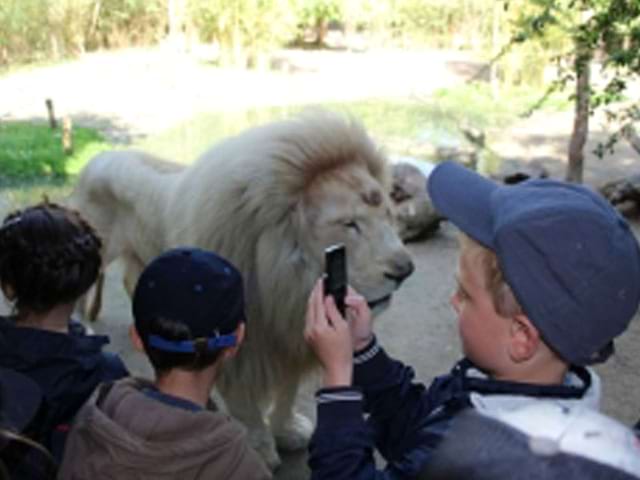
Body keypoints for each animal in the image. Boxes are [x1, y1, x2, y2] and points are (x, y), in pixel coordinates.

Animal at [71, 111, 416, 468]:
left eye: (387, 214)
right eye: (349, 224)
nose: (405, 271)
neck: (285, 285)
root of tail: (98, 157)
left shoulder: (288, 336)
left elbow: (288, 391)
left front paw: (288, 432)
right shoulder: (244, 343)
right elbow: (244, 404)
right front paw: (259, 450)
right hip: (94, 254)